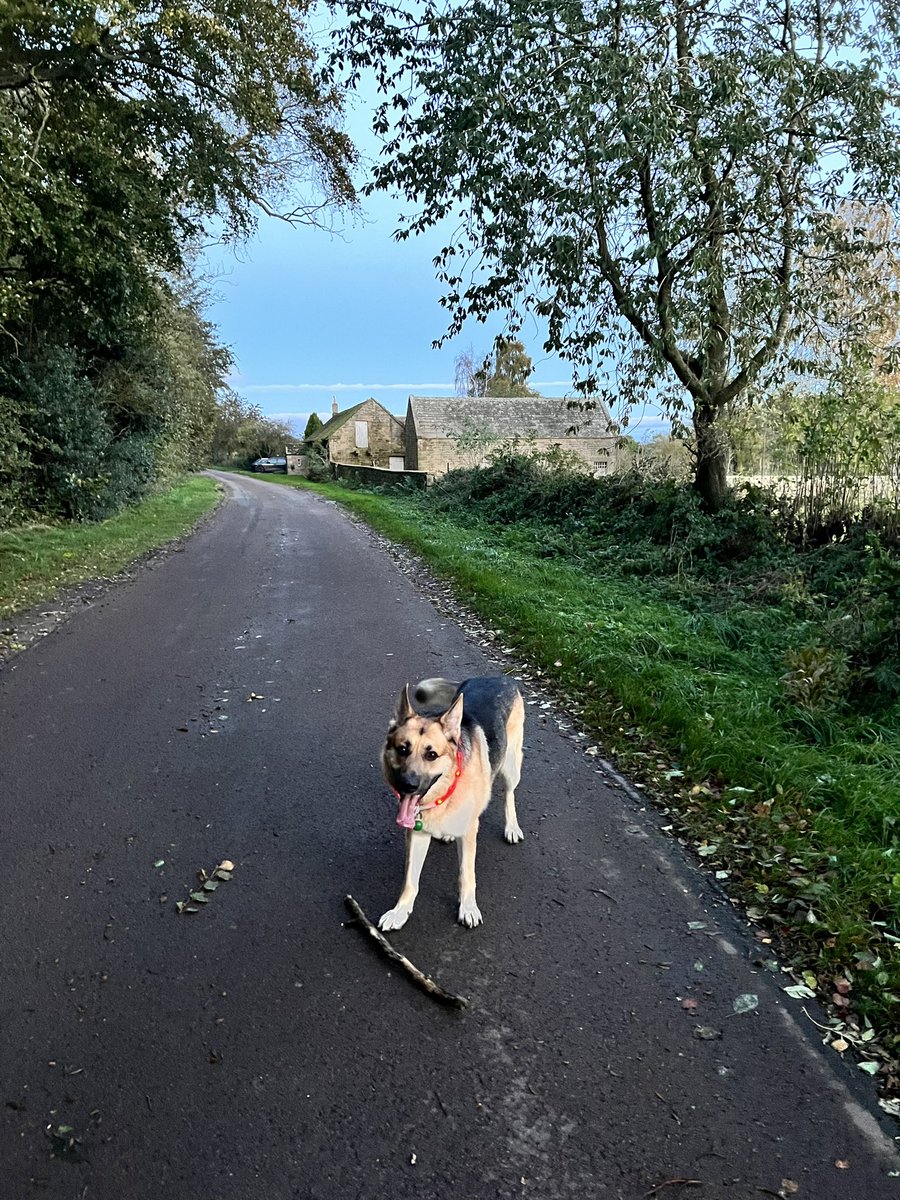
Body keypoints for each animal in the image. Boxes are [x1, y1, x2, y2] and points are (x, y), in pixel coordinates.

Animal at [381, 676, 528, 926]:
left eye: (431, 755)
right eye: (402, 749)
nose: (408, 786)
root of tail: (497, 677)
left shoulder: (469, 833)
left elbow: (466, 874)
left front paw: (468, 907)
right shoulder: (417, 833)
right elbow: (411, 880)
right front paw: (400, 911)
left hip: (510, 765)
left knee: (509, 794)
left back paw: (511, 827)